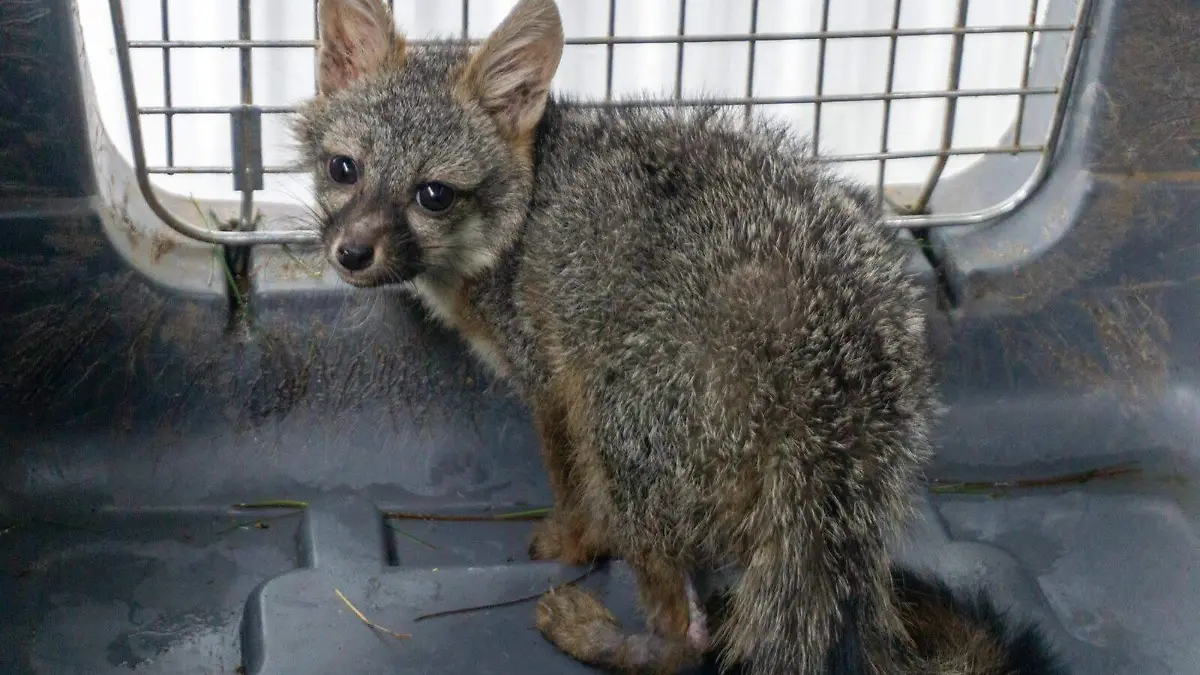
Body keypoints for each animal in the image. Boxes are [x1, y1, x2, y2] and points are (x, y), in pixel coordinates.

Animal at [294, 0, 1068, 674]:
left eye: (433, 194)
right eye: (343, 169)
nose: (351, 254)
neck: (528, 206)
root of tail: (830, 372)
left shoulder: (552, 381)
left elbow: (570, 487)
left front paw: (569, 541)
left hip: (620, 423)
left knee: (688, 638)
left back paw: (598, 634)